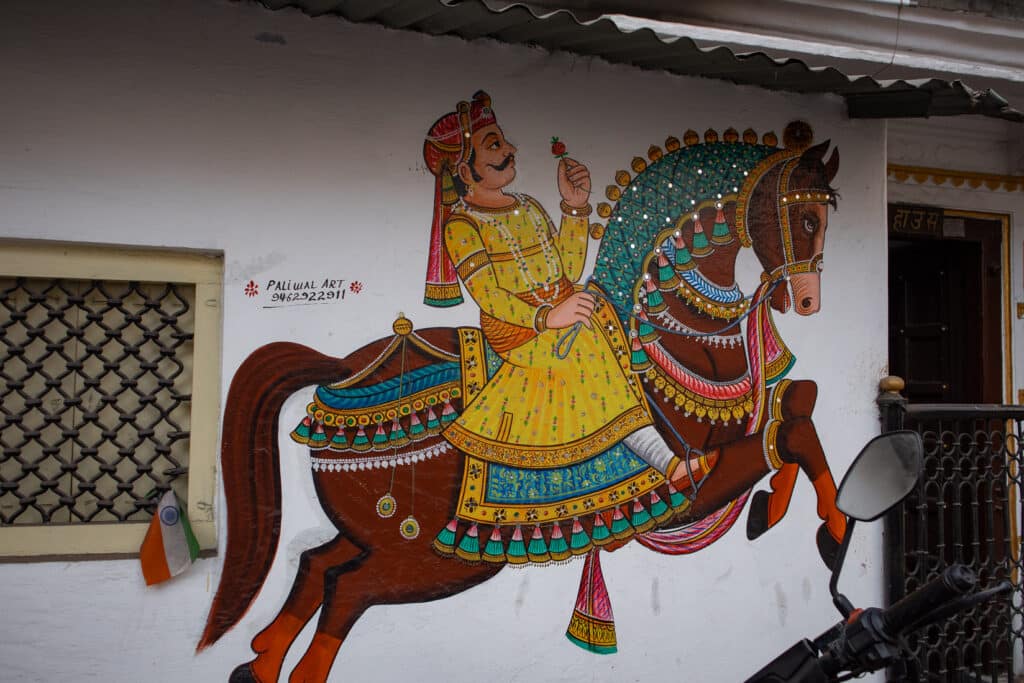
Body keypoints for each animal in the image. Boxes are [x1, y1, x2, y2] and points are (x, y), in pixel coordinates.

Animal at [200, 122, 841, 683]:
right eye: (807, 218)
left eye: (827, 219)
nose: (809, 300)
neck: (665, 338)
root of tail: (344, 369)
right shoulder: (694, 487)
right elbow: (785, 434)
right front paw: (827, 529)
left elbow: (799, 404)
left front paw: (786, 511)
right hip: (428, 559)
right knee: (344, 592)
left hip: (377, 538)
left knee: (316, 565)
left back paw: (257, 661)